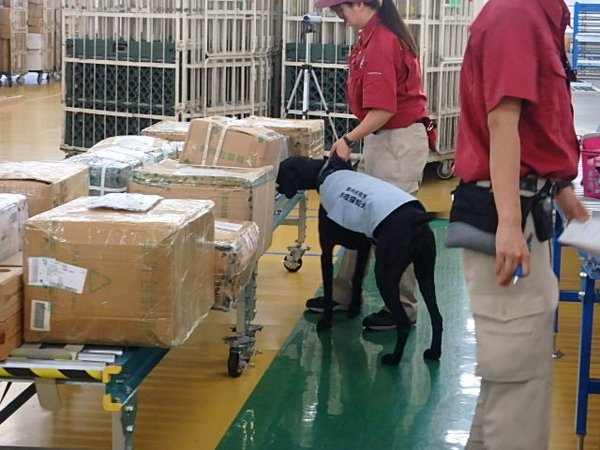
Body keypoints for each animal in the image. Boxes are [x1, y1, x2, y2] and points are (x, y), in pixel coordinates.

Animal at [276, 155, 440, 366]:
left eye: (279, 173)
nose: (277, 188)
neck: (325, 172)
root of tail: (416, 220)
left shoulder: (326, 251)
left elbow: (329, 290)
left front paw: (326, 322)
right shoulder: (363, 247)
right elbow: (356, 279)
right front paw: (353, 308)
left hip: (385, 275)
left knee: (403, 322)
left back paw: (393, 359)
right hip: (425, 273)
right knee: (437, 317)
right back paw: (434, 353)